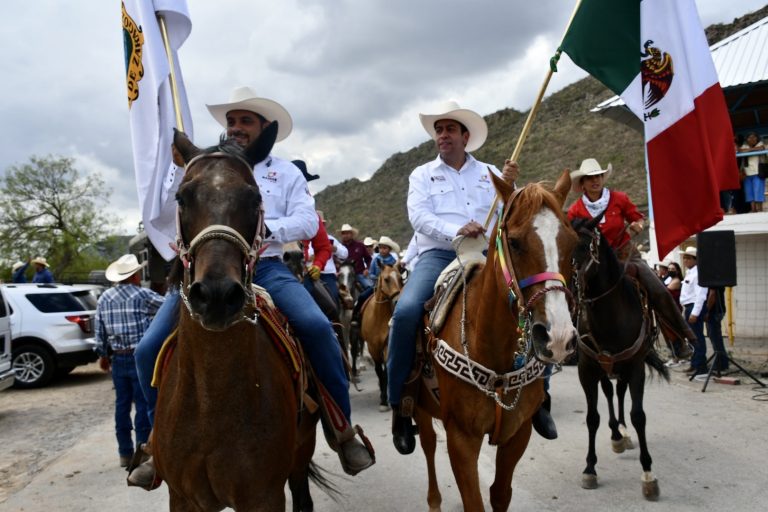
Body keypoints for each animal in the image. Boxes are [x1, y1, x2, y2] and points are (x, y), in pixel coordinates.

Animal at [154, 125, 326, 512]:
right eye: (181, 198)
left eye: (254, 197)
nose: (217, 294)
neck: (211, 402)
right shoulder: (182, 496)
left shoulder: (263, 495)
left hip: (302, 448)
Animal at [360, 264, 402, 412]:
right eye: (386, 279)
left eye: (401, 278)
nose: (398, 301)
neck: (378, 317)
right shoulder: (372, 348)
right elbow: (379, 371)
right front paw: (383, 399)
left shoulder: (387, 345)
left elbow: (386, 372)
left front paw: (385, 399)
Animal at [414, 170, 576, 510]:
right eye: (514, 242)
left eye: (573, 243)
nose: (557, 337)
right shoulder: (461, 438)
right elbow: (473, 500)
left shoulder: (518, 434)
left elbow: (500, 494)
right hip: (421, 408)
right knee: (429, 444)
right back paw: (434, 500)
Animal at [572, 215, 668, 500]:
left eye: (584, 246)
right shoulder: (586, 370)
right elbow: (592, 418)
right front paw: (589, 469)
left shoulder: (635, 368)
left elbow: (639, 416)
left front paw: (648, 474)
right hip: (606, 369)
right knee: (610, 392)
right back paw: (616, 433)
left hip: (623, 368)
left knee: (621, 392)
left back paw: (622, 432)